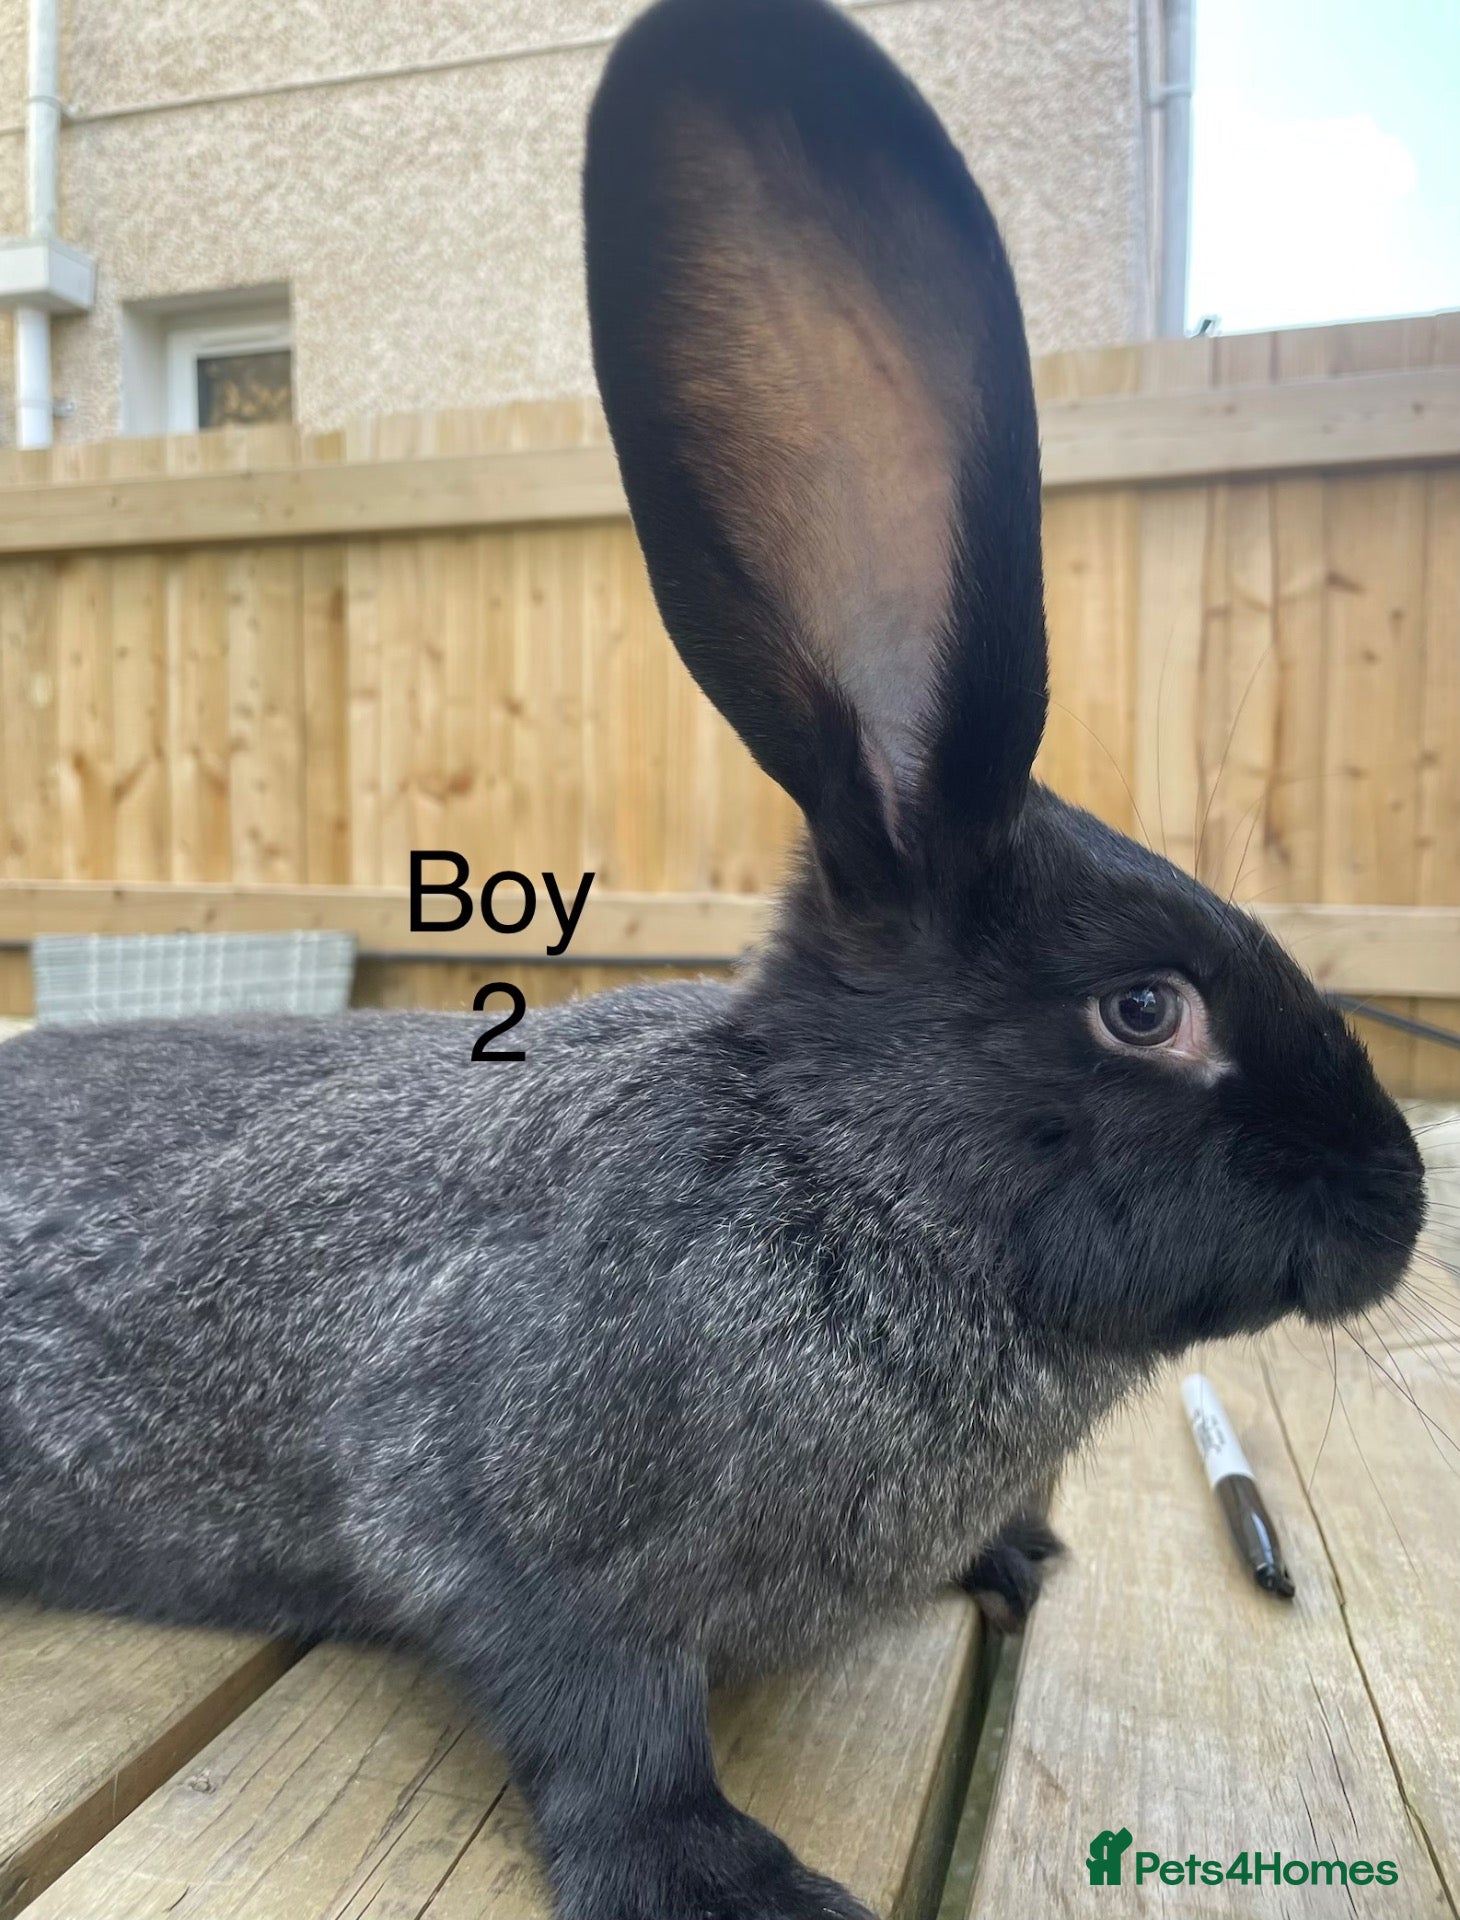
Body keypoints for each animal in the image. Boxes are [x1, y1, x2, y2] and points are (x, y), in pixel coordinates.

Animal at [0, 0, 1426, 1916]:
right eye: (1145, 1008)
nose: (1399, 1206)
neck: (844, 1179)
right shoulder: (503, 1513)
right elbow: (603, 1713)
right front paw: (723, 1878)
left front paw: (1013, 1560)